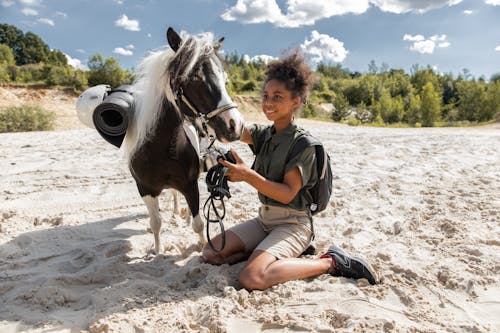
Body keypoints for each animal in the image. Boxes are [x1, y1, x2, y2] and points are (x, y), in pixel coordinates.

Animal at [123, 27, 244, 252]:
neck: (158, 149)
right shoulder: (144, 190)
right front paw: (158, 251)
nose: (235, 125)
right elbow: (156, 223)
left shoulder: (190, 185)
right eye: (194, 77)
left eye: (225, 79)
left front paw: (202, 246)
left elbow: (199, 224)